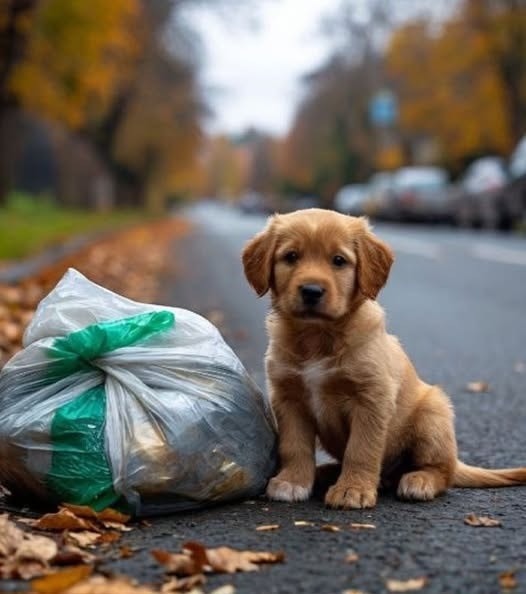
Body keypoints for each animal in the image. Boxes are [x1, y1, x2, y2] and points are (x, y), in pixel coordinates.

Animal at [243, 207, 526, 504]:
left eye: (339, 261)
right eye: (291, 257)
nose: (311, 291)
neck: (317, 337)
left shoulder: (372, 398)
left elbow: (361, 449)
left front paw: (353, 489)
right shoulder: (288, 398)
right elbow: (294, 445)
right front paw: (293, 481)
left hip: (433, 414)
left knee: (442, 471)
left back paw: (419, 480)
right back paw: (326, 472)